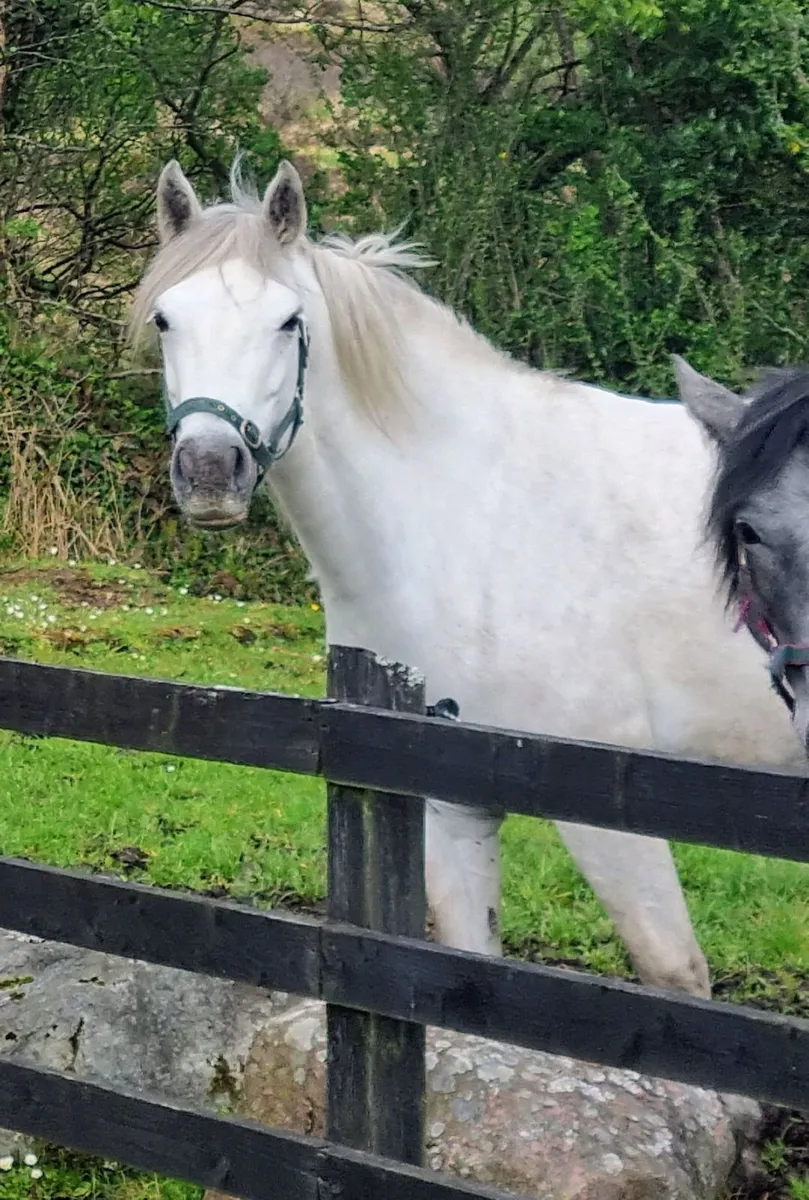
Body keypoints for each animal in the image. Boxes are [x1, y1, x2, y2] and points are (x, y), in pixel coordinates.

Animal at [130, 157, 806, 1000]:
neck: (468, 513)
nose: (210, 474)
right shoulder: (452, 806)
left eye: (287, 322)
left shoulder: (605, 810)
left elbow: (673, 976)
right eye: (166, 320)